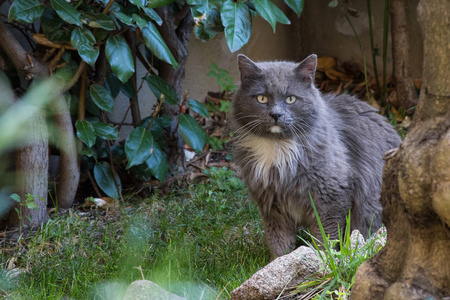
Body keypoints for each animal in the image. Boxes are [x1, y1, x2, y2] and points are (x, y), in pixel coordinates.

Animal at [230, 53, 402, 258]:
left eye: (290, 99)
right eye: (262, 98)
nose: (276, 115)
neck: (278, 148)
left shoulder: (331, 198)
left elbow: (325, 238)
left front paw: (320, 260)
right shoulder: (272, 205)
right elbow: (278, 243)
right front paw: (277, 261)